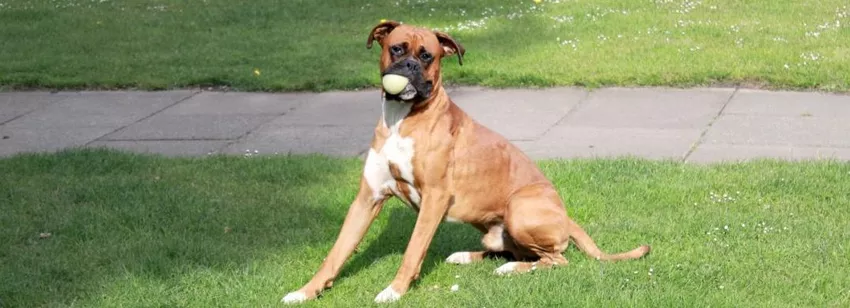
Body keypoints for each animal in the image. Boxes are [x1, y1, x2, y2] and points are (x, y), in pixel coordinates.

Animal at [282, 20, 644, 304]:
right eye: (396, 49)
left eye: (427, 55)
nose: (410, 66)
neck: (402, 119)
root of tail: (567, 219)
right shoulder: (366, 199)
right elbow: (336, 253)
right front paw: (306, 291)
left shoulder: (434, 198)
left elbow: (413, 249)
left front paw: (394, 290)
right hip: (494, 231)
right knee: (511, 249)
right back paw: (467, 256)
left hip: (520, 209)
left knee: (553, 259)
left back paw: (510, 269)